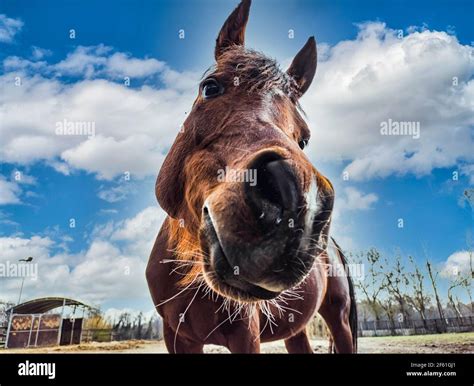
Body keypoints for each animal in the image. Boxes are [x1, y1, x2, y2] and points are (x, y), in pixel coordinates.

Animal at [146, 0, 358, 352]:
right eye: (210, 87)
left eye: (304, 138)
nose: (299, 204)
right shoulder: (175, 336)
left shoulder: (246, 334)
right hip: (296, 328)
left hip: (338, 318)